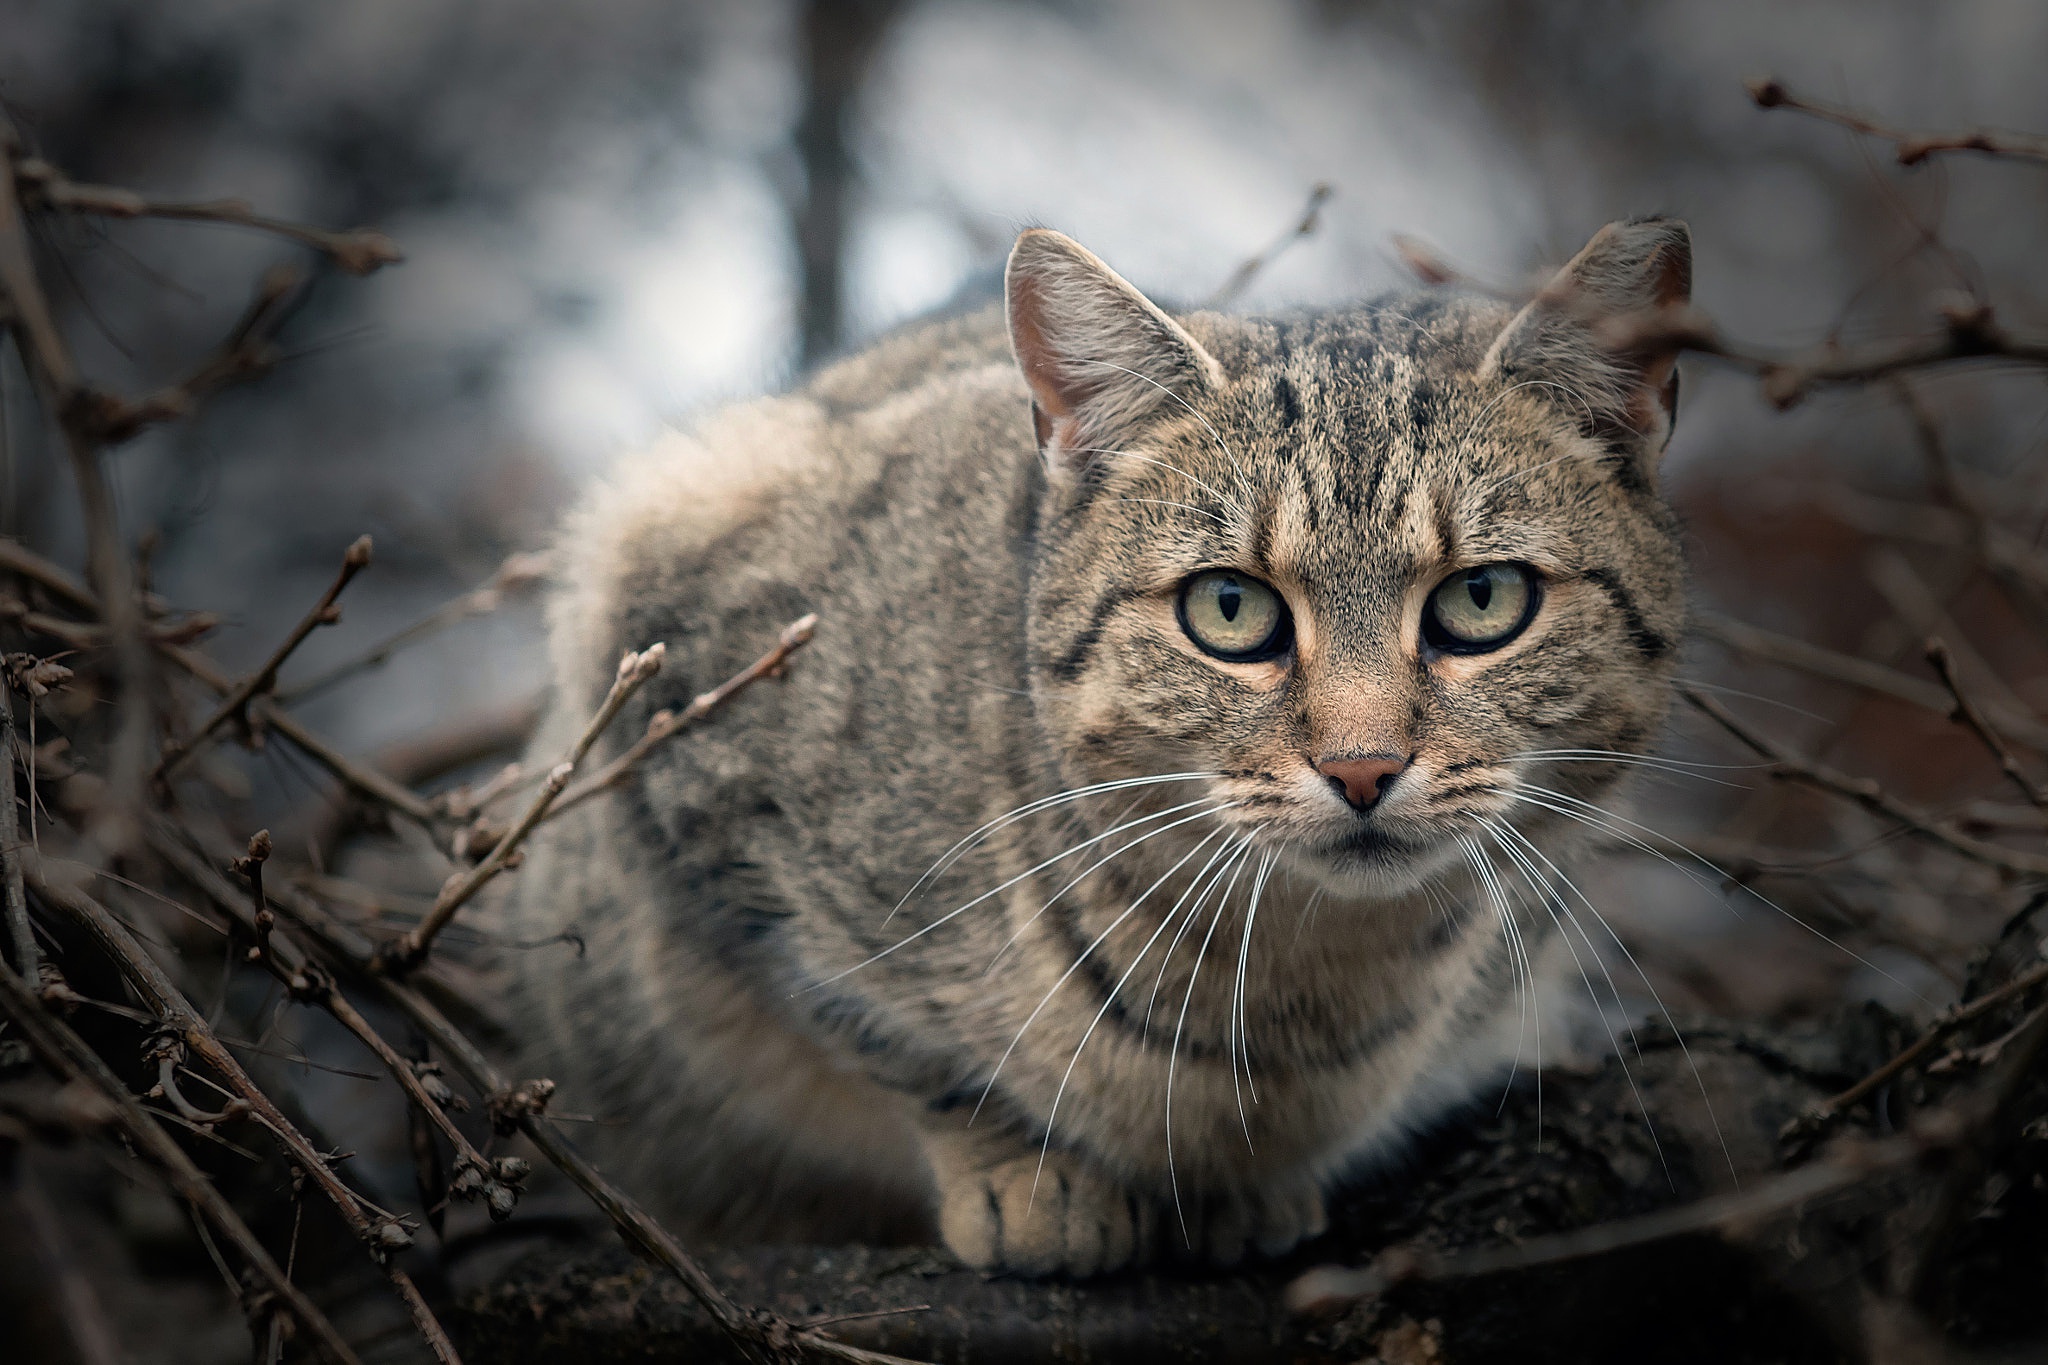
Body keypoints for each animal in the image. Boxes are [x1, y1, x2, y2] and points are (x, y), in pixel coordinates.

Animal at [503, 218, 1687, 1277]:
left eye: (1482, 599)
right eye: (1228, 608)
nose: (1362, 767)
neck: (1296, 997)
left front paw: (1248, 1193)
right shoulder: (686, 694)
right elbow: (896, 1041)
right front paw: (1028, 1178)